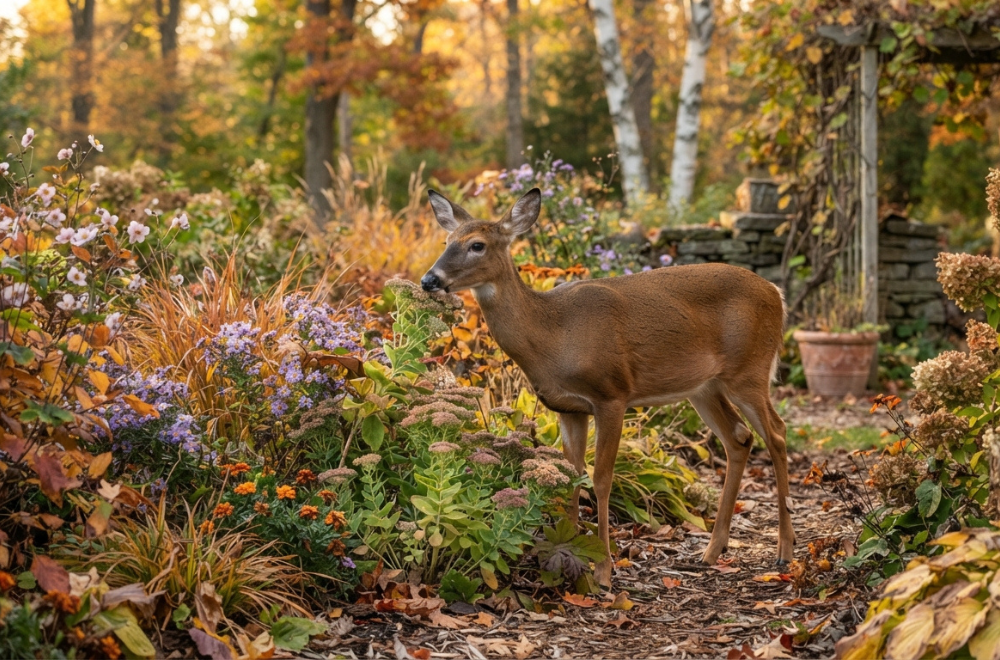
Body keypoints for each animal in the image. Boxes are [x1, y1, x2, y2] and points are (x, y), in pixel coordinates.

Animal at [420, 188, 793, 587]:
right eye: (446, 241)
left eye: (477, 244)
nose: (429, 280)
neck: (553, 335)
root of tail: (776, 291)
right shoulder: (568, 408)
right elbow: (570, 477)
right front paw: (568, 557)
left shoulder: (612, 394)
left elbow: (601, 480)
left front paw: (603, 570)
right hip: (704, 387)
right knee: (739, 437)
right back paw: (712, 551)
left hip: (749, 370)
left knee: (777, 432)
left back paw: (784, 551)